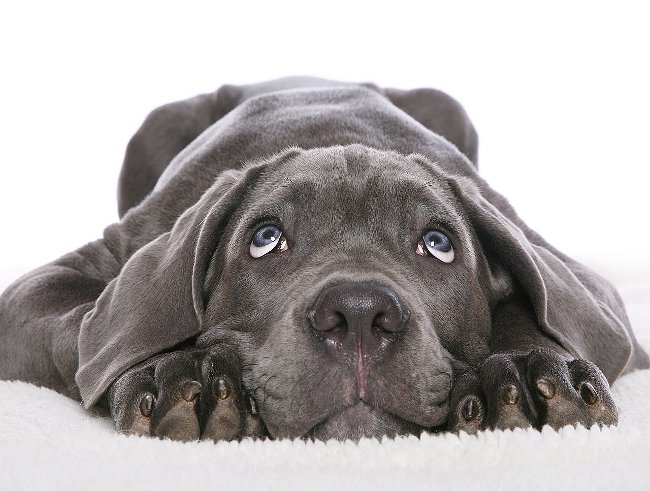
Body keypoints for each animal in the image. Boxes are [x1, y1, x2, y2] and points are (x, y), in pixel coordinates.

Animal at [1, 78, 648, 442]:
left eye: (439, 244)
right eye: (265, 239)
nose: (359, 314)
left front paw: (527, 370)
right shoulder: (53, 284)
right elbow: (91, 329)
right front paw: (182, 373)